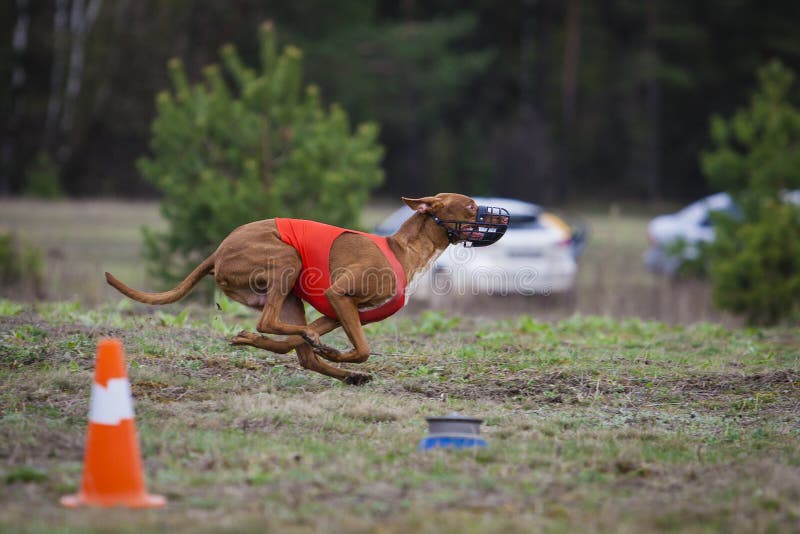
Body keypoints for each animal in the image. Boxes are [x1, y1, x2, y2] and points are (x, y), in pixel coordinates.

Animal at [104, 193, 506, 386]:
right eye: (470, 204)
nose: (501, 216)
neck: (402, 250)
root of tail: (217, 252)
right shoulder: (338, 296)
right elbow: (362, 349)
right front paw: (340, 353)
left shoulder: (336, 311)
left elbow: (314, 346)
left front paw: (332, 354)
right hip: (287, 260)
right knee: (272, 325)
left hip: (291, 296)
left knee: (295, 346)